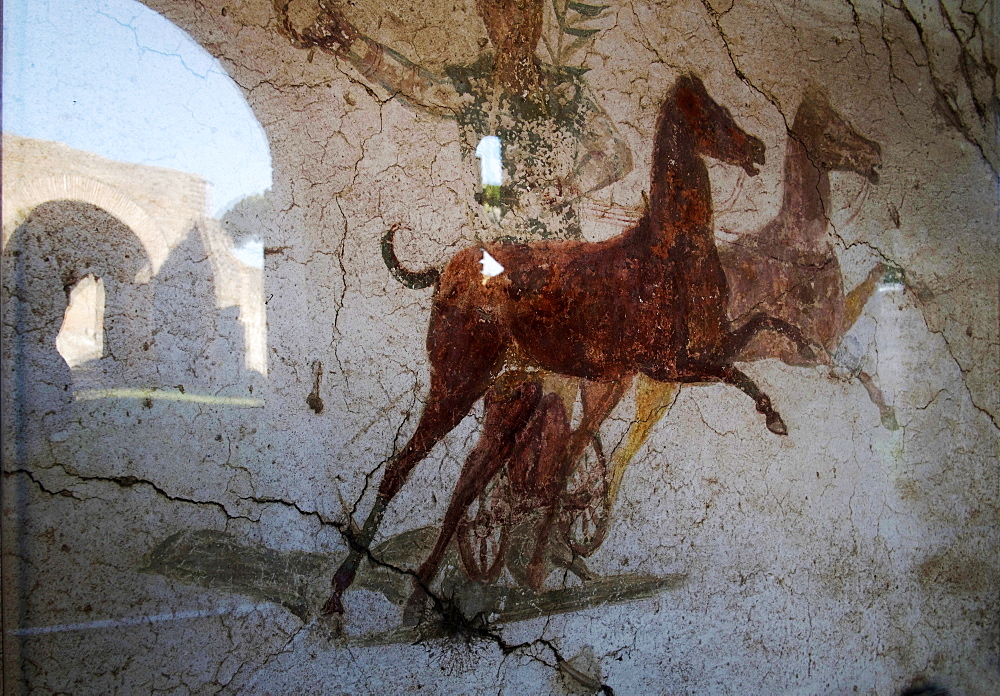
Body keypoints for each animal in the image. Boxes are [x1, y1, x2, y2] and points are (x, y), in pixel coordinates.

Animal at [324, 76, 816, 616]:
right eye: (710, 112)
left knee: (469, 483)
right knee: (401, 468)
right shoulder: (669, 364)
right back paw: (343, 591)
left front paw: (809, 349)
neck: (669, 251)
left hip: (512, 399)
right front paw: (776, 417)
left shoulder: (699, 350)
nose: (758, 149)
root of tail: (443, 274)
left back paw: (425, 596)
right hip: (457, 384)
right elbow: (739, 373)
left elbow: (764, 324)